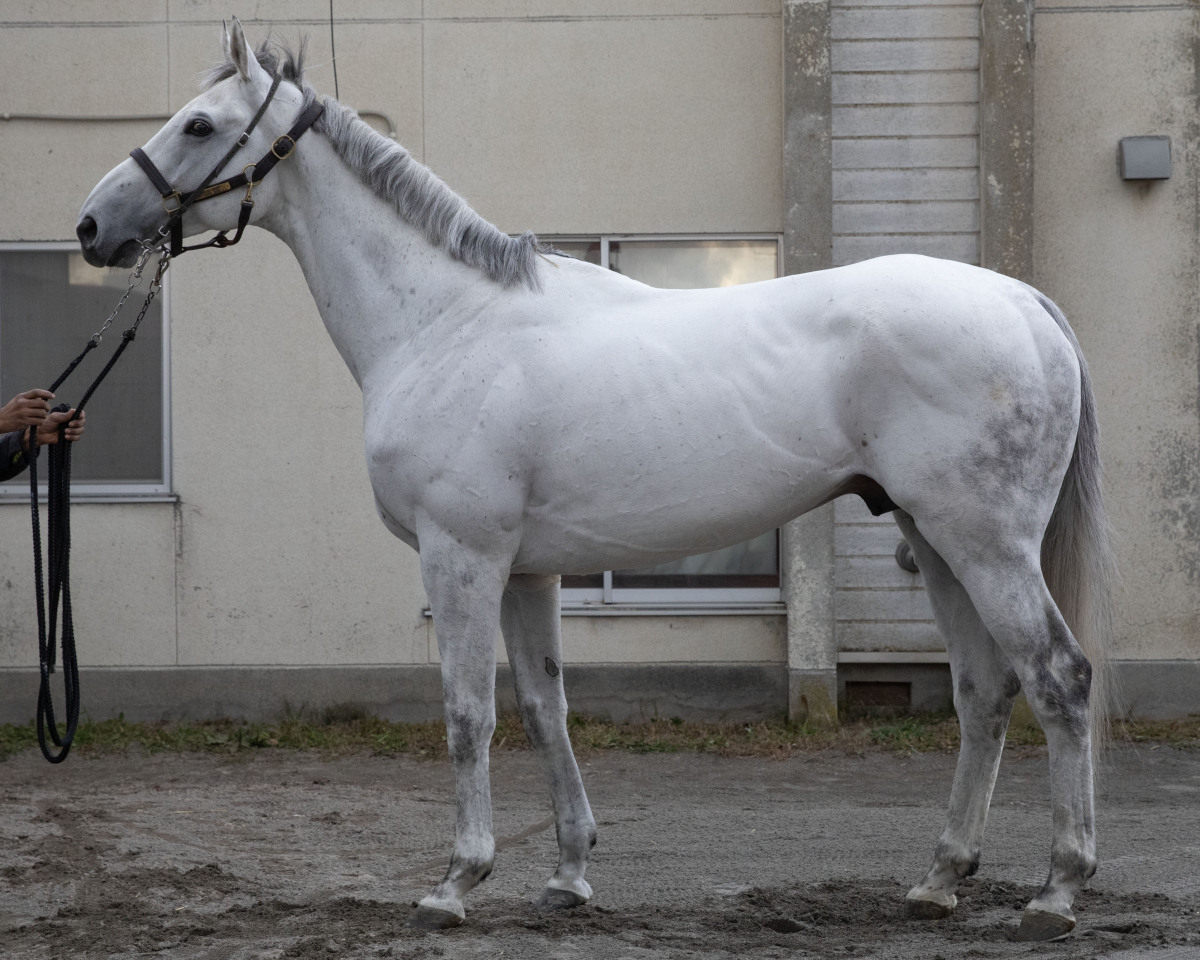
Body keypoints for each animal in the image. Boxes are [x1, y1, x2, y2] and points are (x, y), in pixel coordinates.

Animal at [76, 19, 1115, 940]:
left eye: (199, 125)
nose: (91, 225)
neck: (445, 323)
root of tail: (1024, 300)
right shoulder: (528, 571)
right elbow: (545, 712)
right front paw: (567, 876)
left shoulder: (462, 558)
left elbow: (467, 714)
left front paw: (454, 884)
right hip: (934, 540)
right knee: (984, 691)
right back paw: (938, 881)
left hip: (985, 544)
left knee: (1058, 678)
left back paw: (1056, 892)